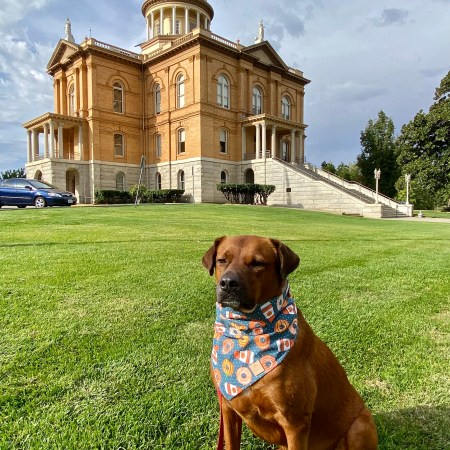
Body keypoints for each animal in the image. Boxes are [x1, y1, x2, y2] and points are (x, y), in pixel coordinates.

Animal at [202, 235, 378, 450]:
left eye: (257, 263)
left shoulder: (295, 423)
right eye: (222, 260)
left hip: (359, 426)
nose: (228, 283)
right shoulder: (228, 410)